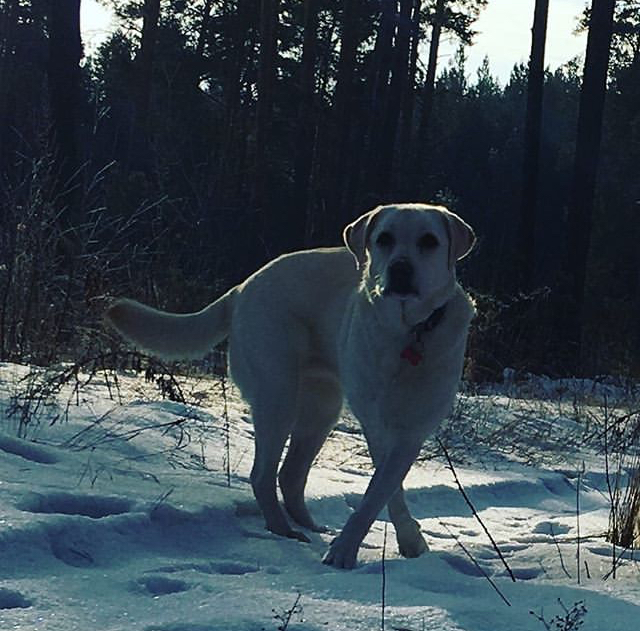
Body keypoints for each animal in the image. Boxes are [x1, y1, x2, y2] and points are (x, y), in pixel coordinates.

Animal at [106, 205, 476, 572]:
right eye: (384, 238)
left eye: (429, 241)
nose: (400, 269)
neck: (409, 333)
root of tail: (242, 287)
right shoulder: (377, 425)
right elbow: (379, 492)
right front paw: (346, 552)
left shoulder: (412, 429)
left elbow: (385, 489)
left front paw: (406, 542)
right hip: (278, 395)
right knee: (262, 474)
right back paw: (282, 529)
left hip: (321, 409)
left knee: (290, 474)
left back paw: (308, 525)